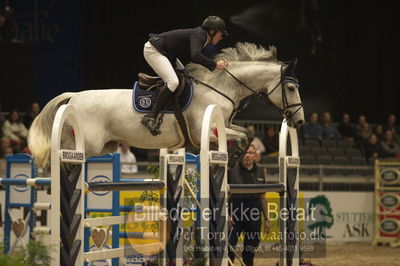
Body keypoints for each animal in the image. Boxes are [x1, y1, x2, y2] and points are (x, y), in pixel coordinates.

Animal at [28, 42, 304, 167]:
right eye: (291, 88)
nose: (300, 121)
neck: (221, 87)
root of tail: (74, 95)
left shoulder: (225, 125)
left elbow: (246, 132)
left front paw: (236, 156)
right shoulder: (205, 132)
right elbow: (242, 135)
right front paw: (235, 157)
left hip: (105, 146)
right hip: (88, 144)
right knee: (59, 153)